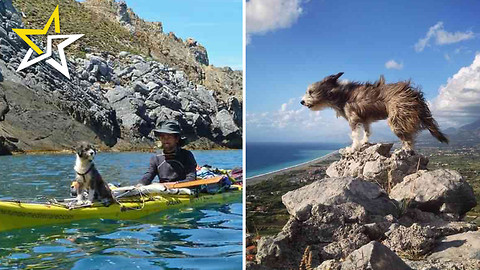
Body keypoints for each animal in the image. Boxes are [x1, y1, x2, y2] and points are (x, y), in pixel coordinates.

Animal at [300, 71, 450, 152]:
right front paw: (364, 142)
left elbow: (354, 135)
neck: (339, 95)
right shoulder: (365, 120)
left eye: (310, 92)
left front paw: (353, 147)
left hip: (396, 118)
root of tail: (413, 93)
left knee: (408, 137)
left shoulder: (353, 119)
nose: (301, 102)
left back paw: (406, 150)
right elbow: (367, 132)